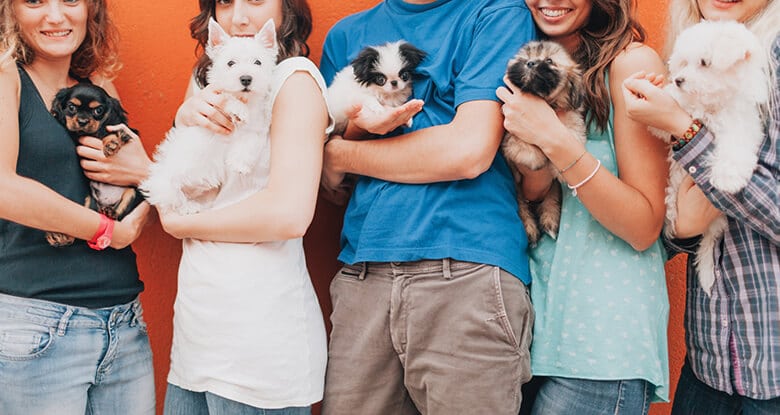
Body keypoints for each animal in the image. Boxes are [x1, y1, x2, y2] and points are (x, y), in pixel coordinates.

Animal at [142, 19, 278, 214]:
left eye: (258, 62)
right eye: (230, 63)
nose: (246, 78)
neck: (245, 99)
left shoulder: (256, 127)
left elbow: (249, 141)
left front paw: (240, 164)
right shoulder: (214, 104)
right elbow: (227, 96)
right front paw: (237, 109)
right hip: (168, 182)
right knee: (174, 198)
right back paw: (189, 207)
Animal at [652, 20, 768, 296]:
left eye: (704, 62)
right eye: (683, 62)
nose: (679, 80)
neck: (712, 104)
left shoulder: (741, 126)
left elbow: (735, 148)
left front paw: (728, 178)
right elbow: (674, 109)